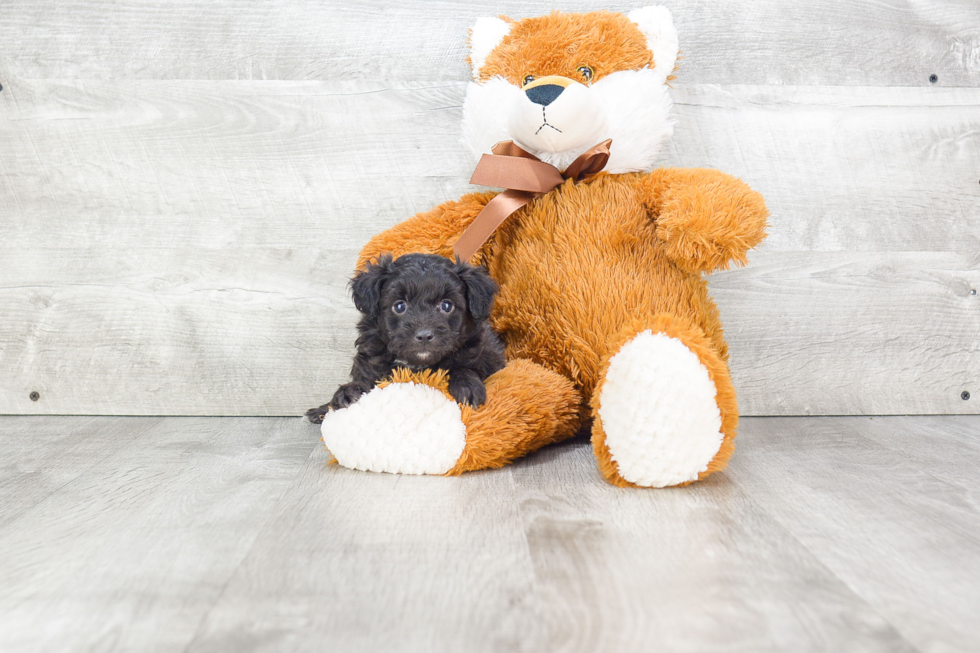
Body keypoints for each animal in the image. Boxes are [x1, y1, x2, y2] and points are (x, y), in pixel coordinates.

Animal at [304, 250, 506, 422]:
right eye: (399, 306)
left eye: (446, 305)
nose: (424, 336)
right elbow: (367, 378)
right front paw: (348, 392)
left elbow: (464, 367)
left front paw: (467, 386)